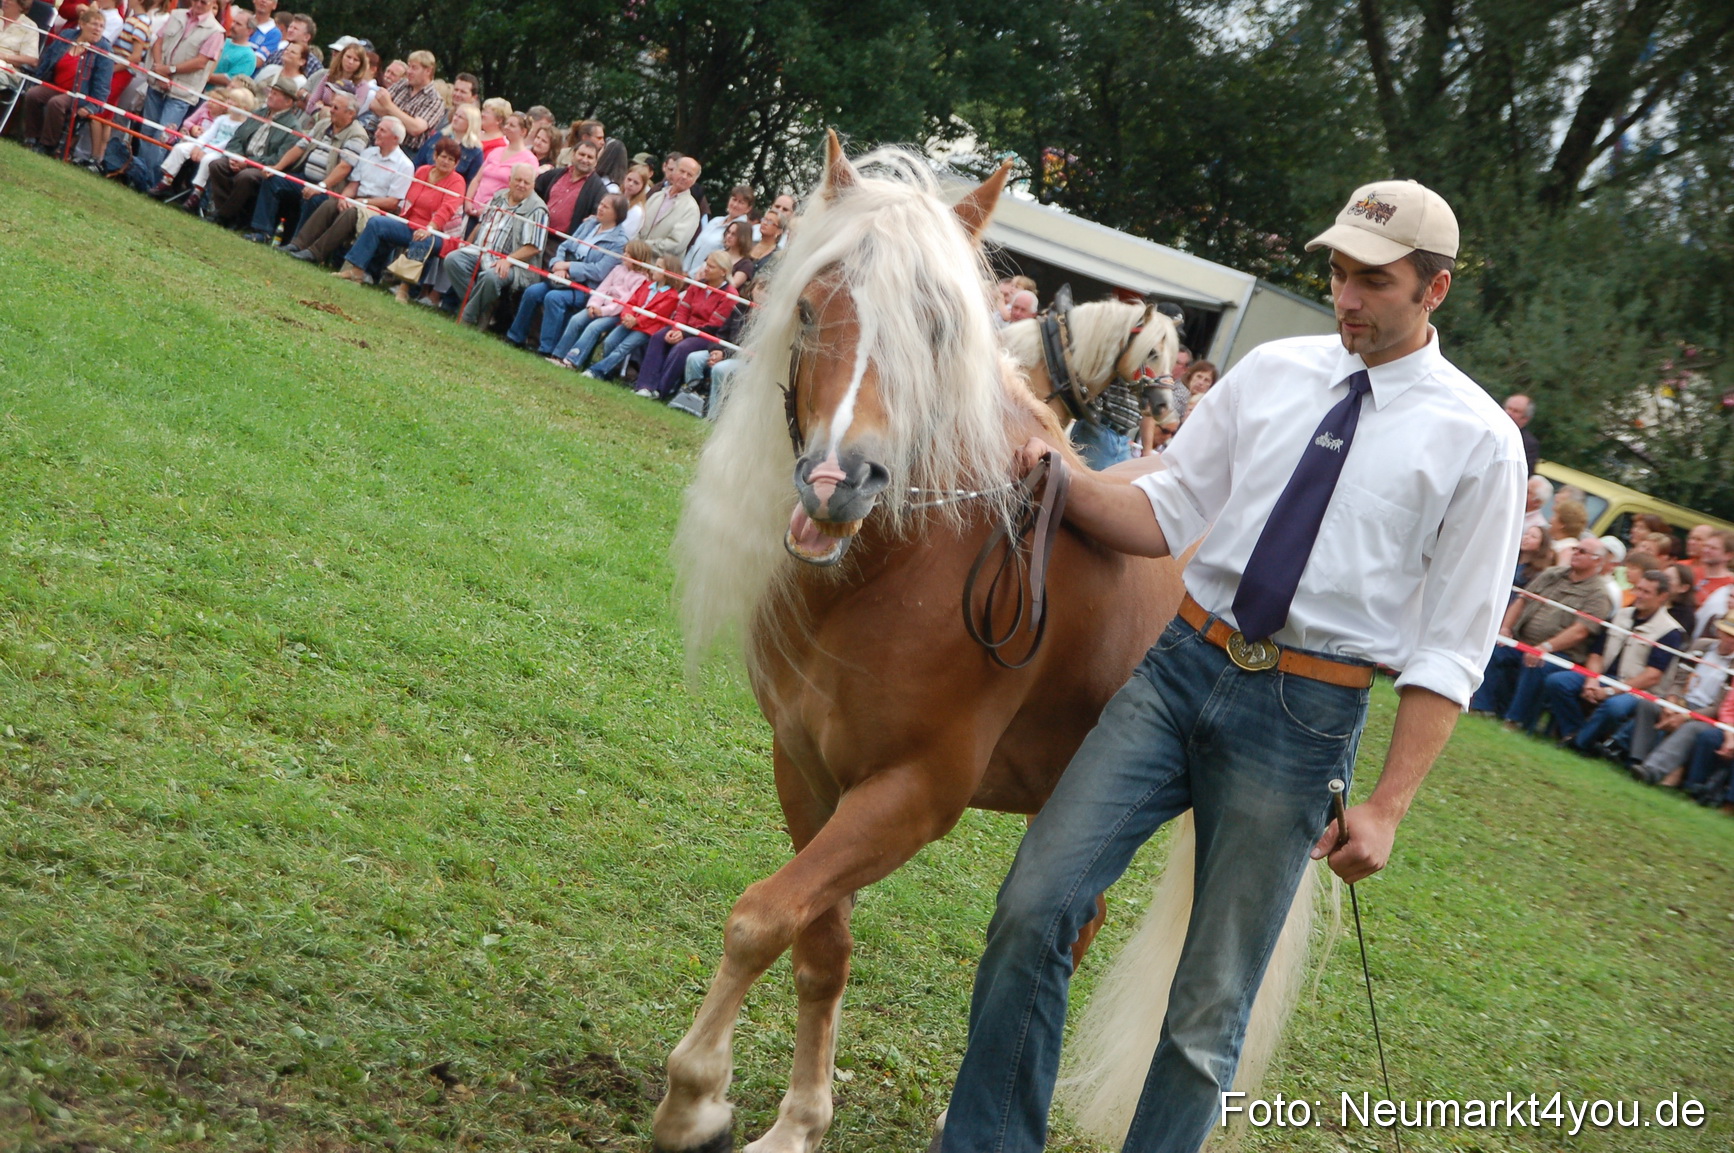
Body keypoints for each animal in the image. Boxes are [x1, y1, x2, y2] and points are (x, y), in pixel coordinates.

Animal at [657, 133, 1314, 1153]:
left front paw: (695, 1099)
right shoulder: (805, 766)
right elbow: (818, 942)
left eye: (937, 327)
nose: (840, 480)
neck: (895, 565)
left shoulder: (911, 794)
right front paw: (796, 1120)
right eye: (808, 305)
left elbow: (761, 917)